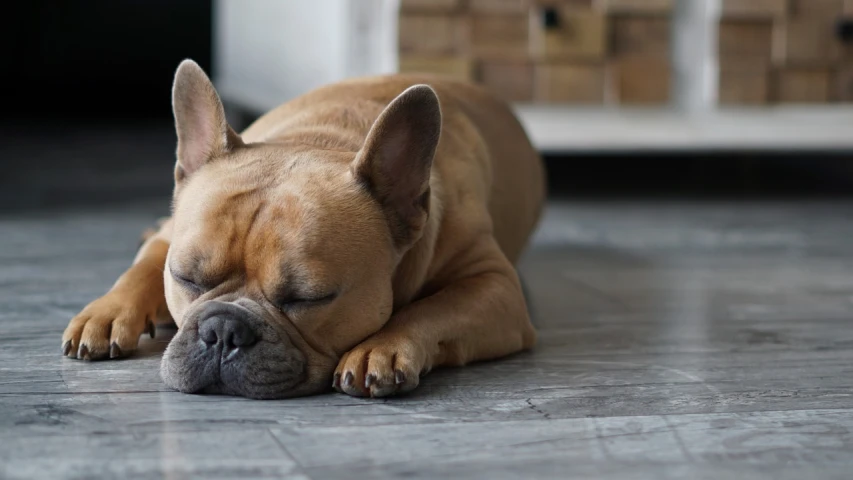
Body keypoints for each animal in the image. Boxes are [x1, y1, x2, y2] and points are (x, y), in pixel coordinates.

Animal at [63, 59, 548, 398]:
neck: (323, 138)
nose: (223, 331)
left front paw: (381, 347)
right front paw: (106, 313)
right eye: (186, 278)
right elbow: (142, 269)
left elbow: (433, 308)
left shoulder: (495, 286)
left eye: (308, 298)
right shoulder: (171, 243)